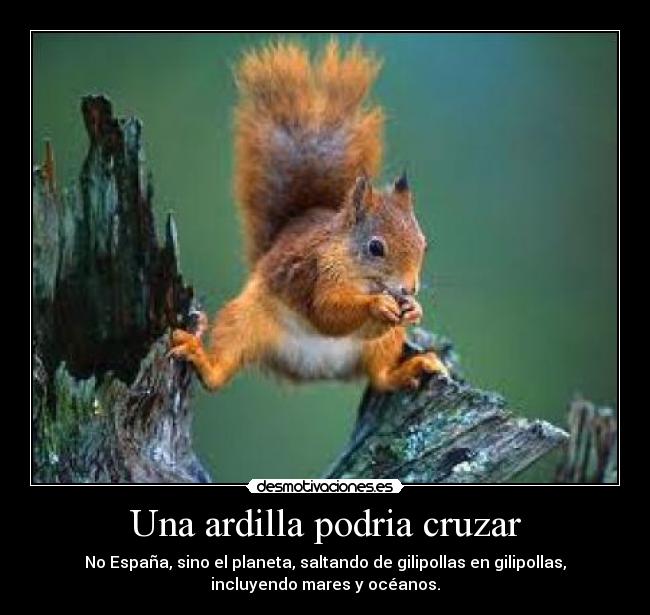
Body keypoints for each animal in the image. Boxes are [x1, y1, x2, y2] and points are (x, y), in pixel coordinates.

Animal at [169, 40, 449, 392]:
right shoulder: (315, 272)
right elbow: (325, 313)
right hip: (244, 320)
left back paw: (415, 366)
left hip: (381, 346)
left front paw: (413, 310)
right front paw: (376, 305)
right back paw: (199, 356)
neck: (360, 276)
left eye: (424, 245)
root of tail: (313, 371)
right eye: (375, 248)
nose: (409, 290)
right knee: (217, 374)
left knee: (381, 377)